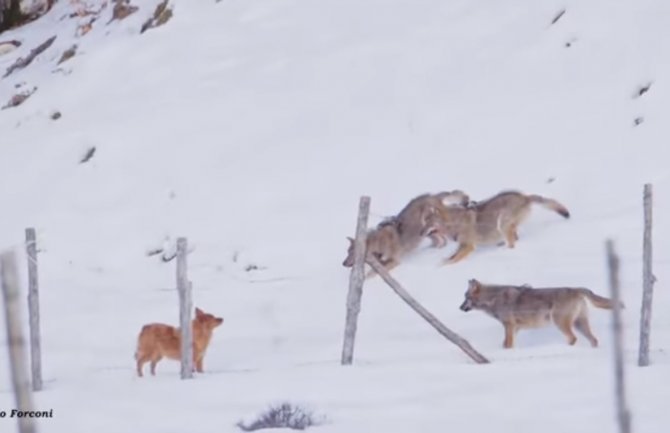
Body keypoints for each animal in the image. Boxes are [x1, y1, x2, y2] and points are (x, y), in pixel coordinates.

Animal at [422, 189, 568, 264]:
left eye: (427, 222)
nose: (420, 233)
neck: (454, 223)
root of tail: (525, 197)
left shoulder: (468, 246)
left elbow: (453, 260)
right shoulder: (462, 245)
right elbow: (451, 257)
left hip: (502, 223)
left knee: (512, 243)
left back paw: (503, 250)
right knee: (515, 238)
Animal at [460, 278, 624, 350]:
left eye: (465, 298)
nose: (459, 308)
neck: (493, 299)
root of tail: (575, 289)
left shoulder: (509, 326)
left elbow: (507, 344)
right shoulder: (515, 328)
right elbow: (506, 344)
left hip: (560, 323)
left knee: (573, 338)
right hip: (579, 323)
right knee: (593, 340)